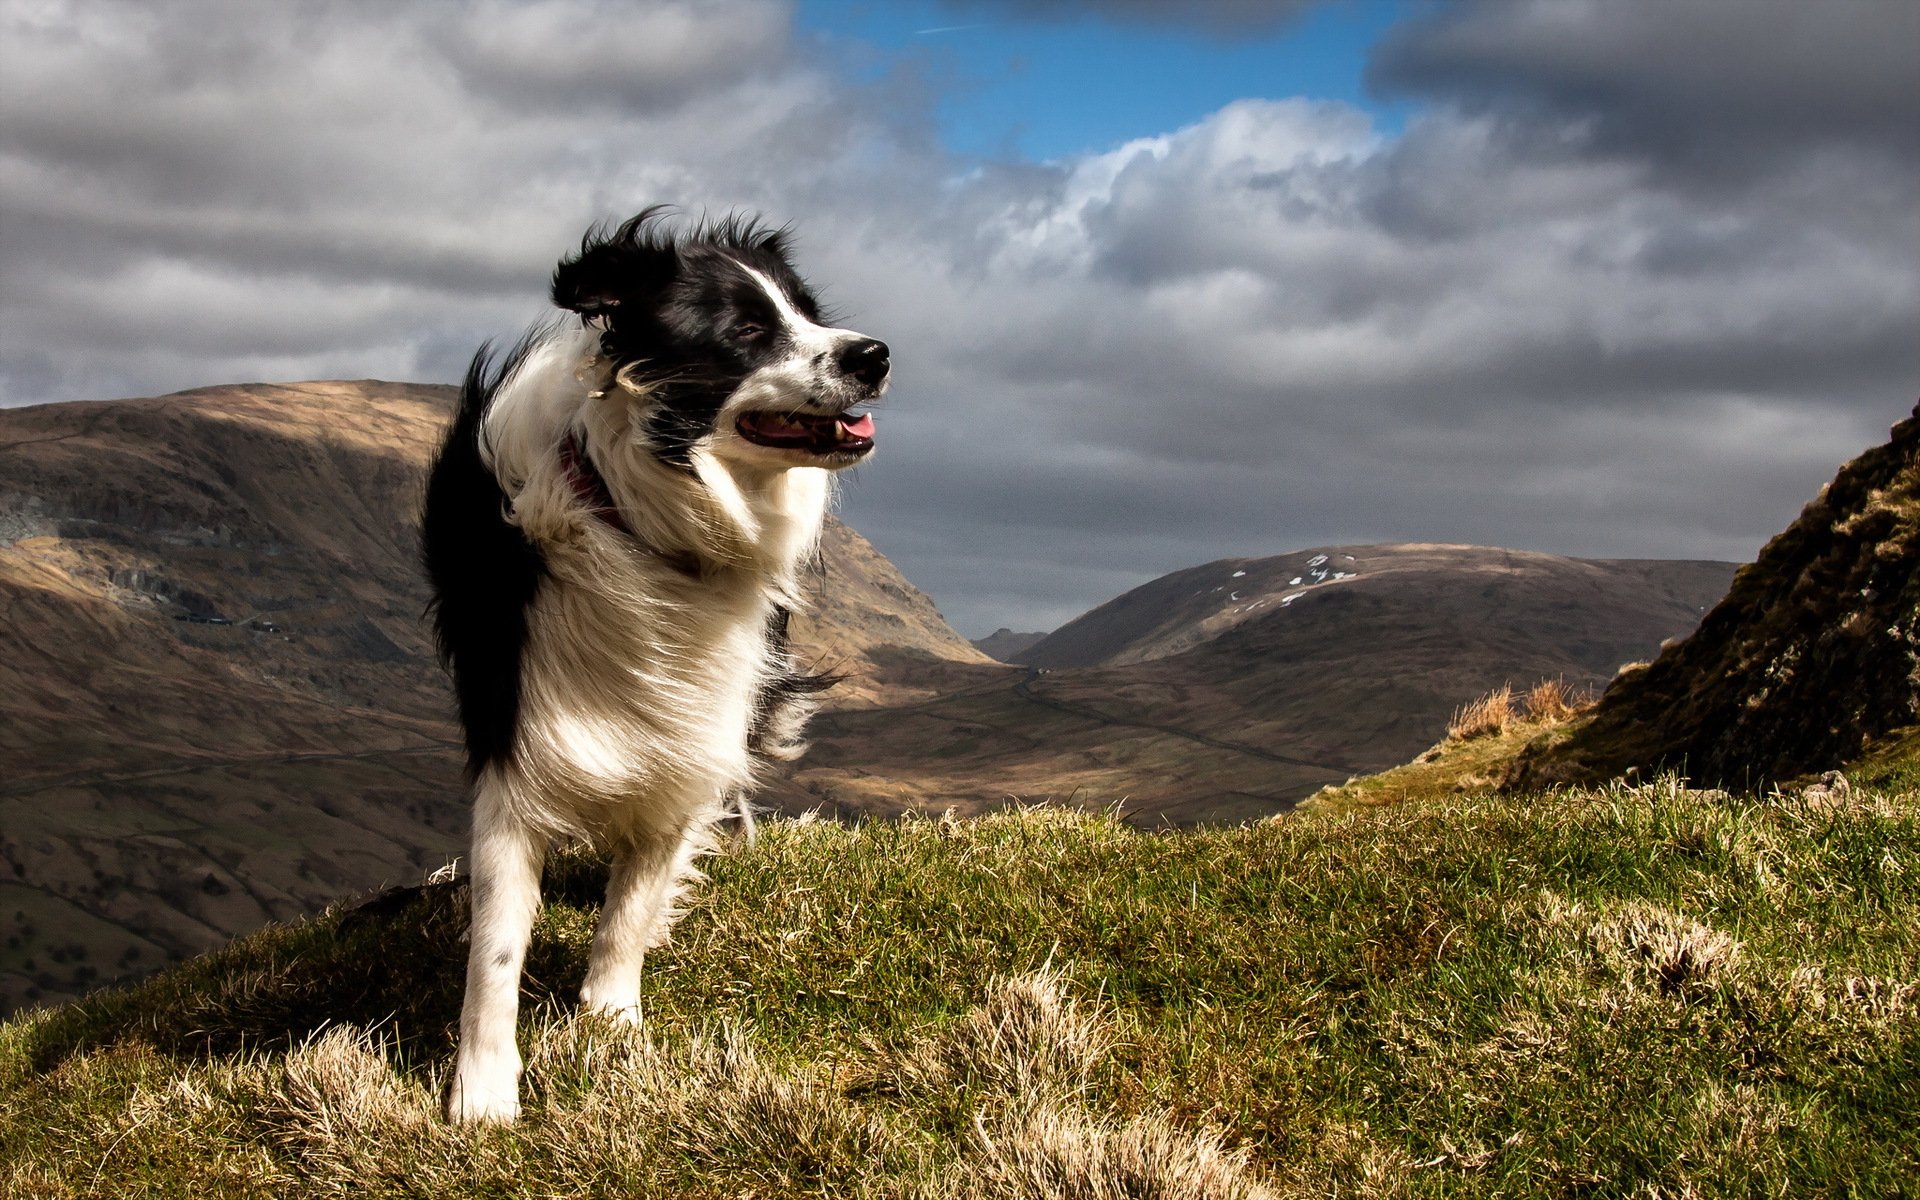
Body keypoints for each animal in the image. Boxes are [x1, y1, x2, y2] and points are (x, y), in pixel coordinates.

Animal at [420, 208, 883, 1121]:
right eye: (747, 331)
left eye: (809, 313)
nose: (875, 355)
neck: (638, 512)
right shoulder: (517, 734)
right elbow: (496, 943)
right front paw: (483, 1091)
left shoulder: (690, 734)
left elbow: (632, 904)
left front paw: (610, 1022)